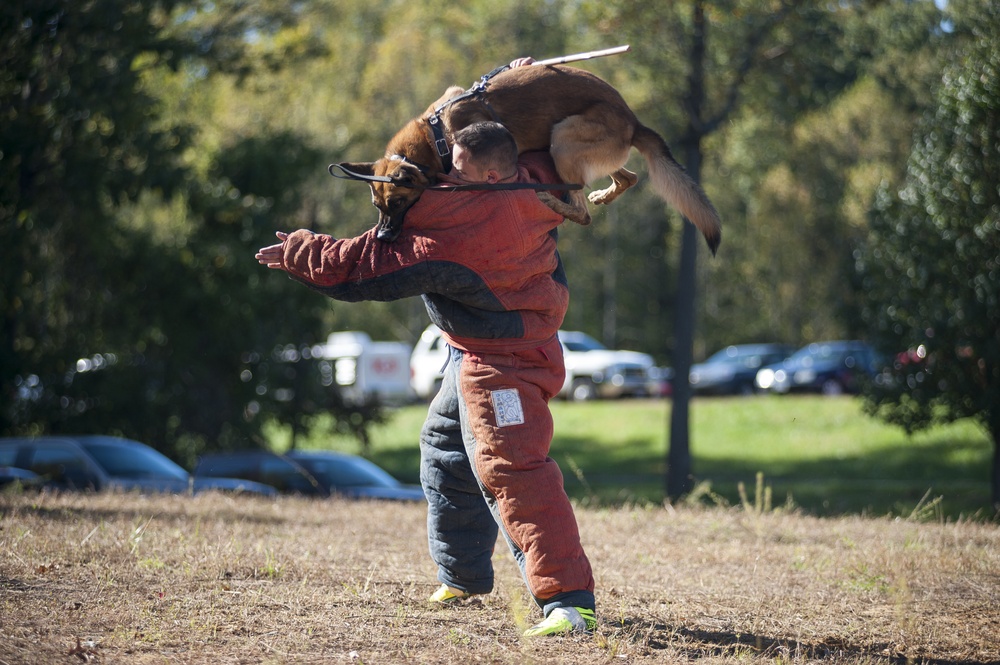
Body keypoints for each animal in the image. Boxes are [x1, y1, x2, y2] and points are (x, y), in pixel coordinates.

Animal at [340, 63, 724, 254]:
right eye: (377, 206)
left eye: (398, 202)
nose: (381, 237)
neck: (434, 137)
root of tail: (633, 121)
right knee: (626, 178)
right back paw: (603, 194)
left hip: (563, 139)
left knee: (581, 210)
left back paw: (551, 200)